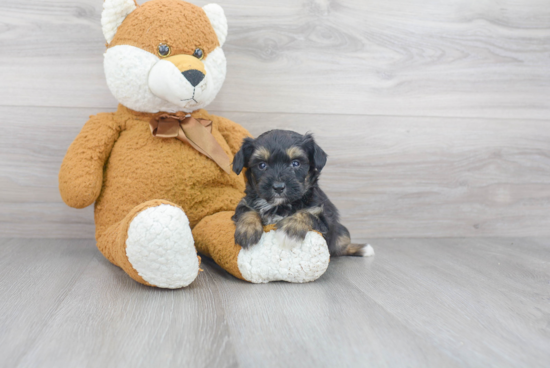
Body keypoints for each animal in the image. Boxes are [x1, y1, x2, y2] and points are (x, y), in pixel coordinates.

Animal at [231, 131, 368, 258]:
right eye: (262, 165)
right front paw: (247, 230)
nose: (278, 187)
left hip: (341, 231)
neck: (280, 205)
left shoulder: (324, 219)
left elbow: (307, 213)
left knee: (341, 245)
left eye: (295, 163)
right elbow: (247, 210)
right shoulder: (245, 202)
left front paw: (290, 229)